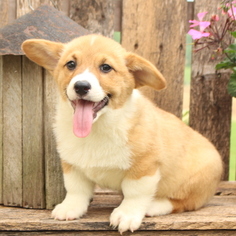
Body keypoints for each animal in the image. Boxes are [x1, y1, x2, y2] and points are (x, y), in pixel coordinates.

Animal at [21, 34, 222, 233]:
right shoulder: (72, 164)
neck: (98, 127)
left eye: (106, 67)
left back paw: (153, 206)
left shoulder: (144, 166)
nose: (81, 86)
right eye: (71, 64)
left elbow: (135, 192)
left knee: (184, 202)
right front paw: (70, 208)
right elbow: (76, 188)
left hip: (197, 179)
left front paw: (127, 215)